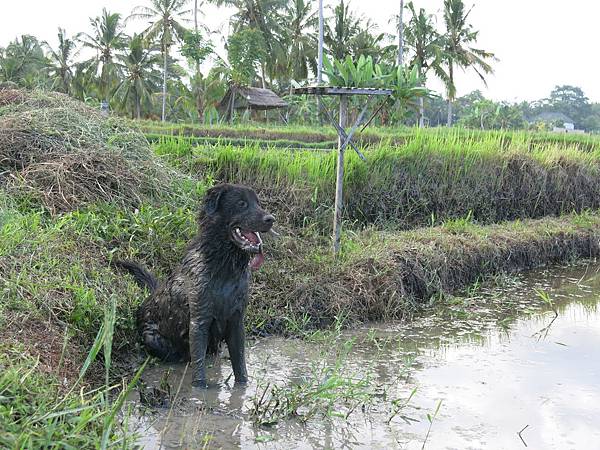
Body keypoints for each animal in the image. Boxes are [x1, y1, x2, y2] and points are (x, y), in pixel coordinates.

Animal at [116, 183, 276, 386]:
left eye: (258, 203)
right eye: (241, 203)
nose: (271, 219)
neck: (224, 269)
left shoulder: (237, 321)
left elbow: (240, 366)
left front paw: (242, 387)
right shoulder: (199, 322)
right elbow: (198, 367)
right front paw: (200, 389)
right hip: (151, 338)